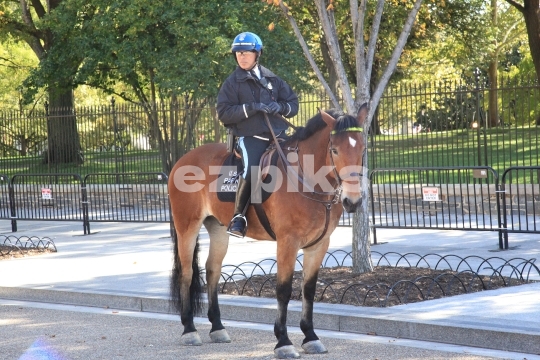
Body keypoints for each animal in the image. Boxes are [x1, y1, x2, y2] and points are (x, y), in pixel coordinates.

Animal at [168, 104, 368, 358]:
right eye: (334, 150)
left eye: (362, 149)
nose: (353, 201)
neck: (307, 179)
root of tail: (182, 159)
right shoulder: (287, 242)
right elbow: (283, 290)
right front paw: (283, 341)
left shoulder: (319, 245)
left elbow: (309, 289)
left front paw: (310, 336)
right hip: (187, 227)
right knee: (186, 273)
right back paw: (189, 329)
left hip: (219, 229)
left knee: (212, 270)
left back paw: (218, 327)